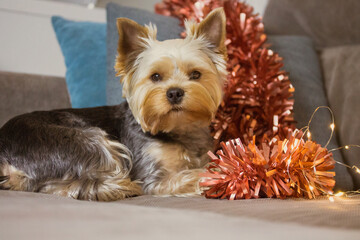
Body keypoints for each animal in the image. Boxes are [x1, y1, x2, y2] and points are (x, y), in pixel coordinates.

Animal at [0, 7, 226, 201]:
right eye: (155, 76)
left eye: (195, 74)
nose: (174, 92)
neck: (179, 129)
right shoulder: (154, 177)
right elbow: (196, 174)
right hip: (84, 140)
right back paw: (121, 187)